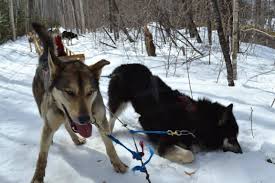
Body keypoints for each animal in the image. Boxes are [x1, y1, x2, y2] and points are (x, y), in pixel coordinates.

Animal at [108, 63, 244, 164]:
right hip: (117, 103)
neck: (194, 120)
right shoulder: (164, 141)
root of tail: (122, 67)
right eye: (232, 138)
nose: (242, 152)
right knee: (111, 119)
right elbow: (189, 155)